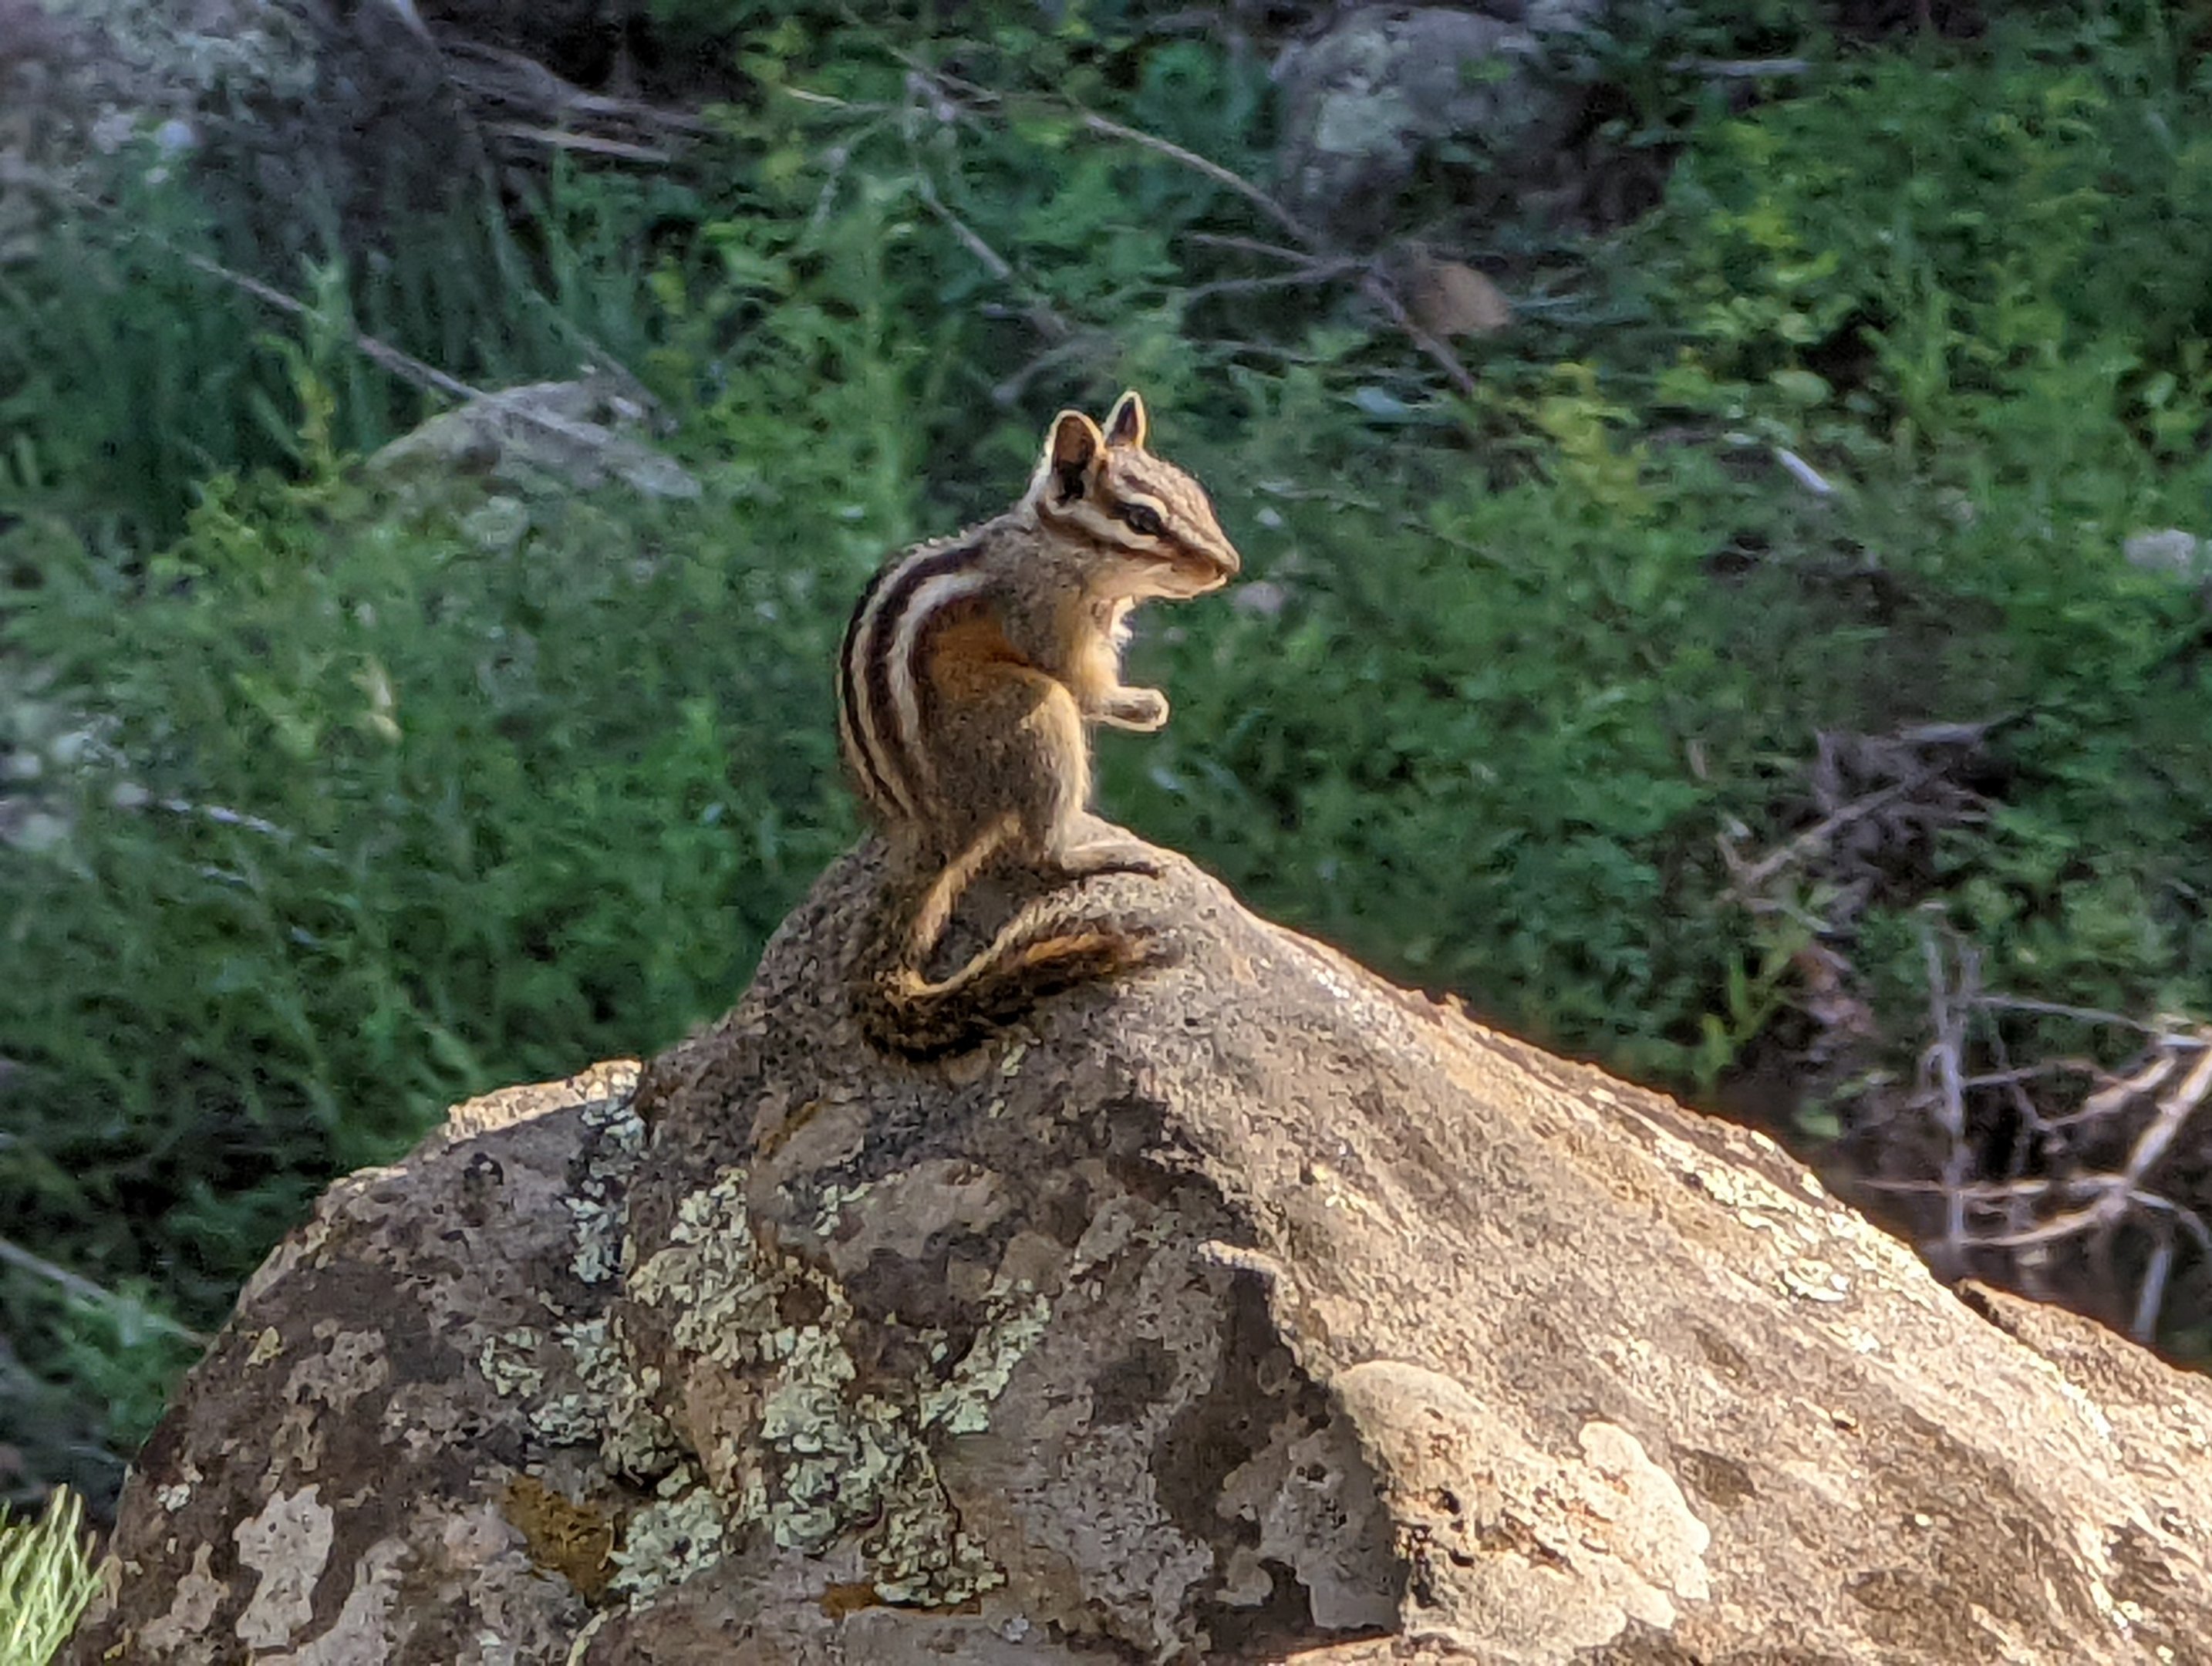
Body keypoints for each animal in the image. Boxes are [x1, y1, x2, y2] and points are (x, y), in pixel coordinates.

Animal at [836, 389, 1241, 1057]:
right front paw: (1144, 706)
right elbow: (1087, 689)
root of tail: (937, 827)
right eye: (1143, 520)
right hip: (1034, 714)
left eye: (1196, 495)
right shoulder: (1050, 631)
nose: (1227, 566)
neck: (1056, 549)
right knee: (1039, 854)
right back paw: (1098, 853)